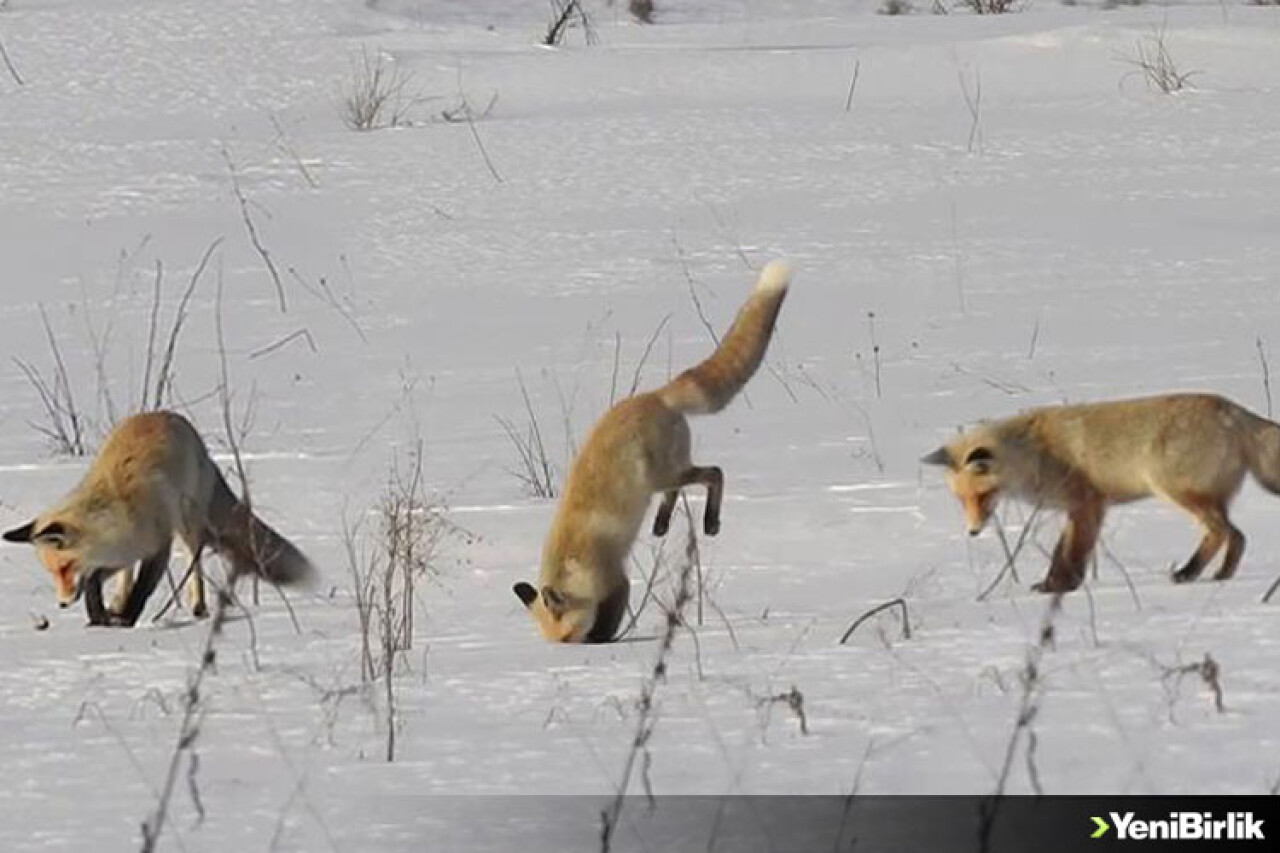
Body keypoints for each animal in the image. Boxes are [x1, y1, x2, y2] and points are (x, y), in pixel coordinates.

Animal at [5, 409, 314, 625]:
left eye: (65, 567)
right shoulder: (121, 552)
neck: (119, 513)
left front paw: (126, 621)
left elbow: (142, 589)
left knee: (194, 564)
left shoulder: (157, 546)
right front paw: (100, 616)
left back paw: (199, 607)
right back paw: (117, 601)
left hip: (188, 526)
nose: (62, 604)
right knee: (126, 578)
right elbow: (96, 583)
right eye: (52, 572)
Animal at [509, 262, 788, 640]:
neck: (572, 559)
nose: (565, 650)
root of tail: (655, 395)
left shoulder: (616, 579)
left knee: (714, 473)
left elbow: (610, 619)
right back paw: (661, 523)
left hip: (663, 473)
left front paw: (605, 644)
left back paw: (710, 521)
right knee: (681, 488)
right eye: (555, 642)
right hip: (662, 477)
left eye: (567, 637)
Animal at [921, 391, 1280, 591]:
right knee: (1237, 536)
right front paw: (1052, 585)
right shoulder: (1079, 508)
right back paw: (1218, 574)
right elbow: (1062, 552)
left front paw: (1061, 587)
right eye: (962, 500)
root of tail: (1231, 408)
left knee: (1223, 533)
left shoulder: (1087, 503)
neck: (1035, 454)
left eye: (982, 496)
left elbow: (1072, 553)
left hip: (1176, 492)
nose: (972, 531)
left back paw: (1191, 573)